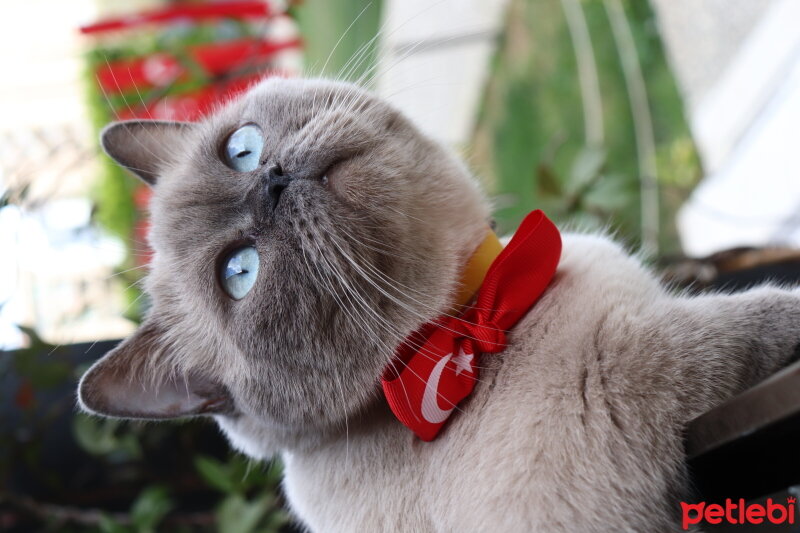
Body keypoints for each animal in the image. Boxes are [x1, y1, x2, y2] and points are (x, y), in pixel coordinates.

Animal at [78, 77, 800, 528]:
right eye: (239, 273)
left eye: (242, 149)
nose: (273, 181)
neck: (482, 304)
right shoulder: (643, 366)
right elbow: (761, 317)